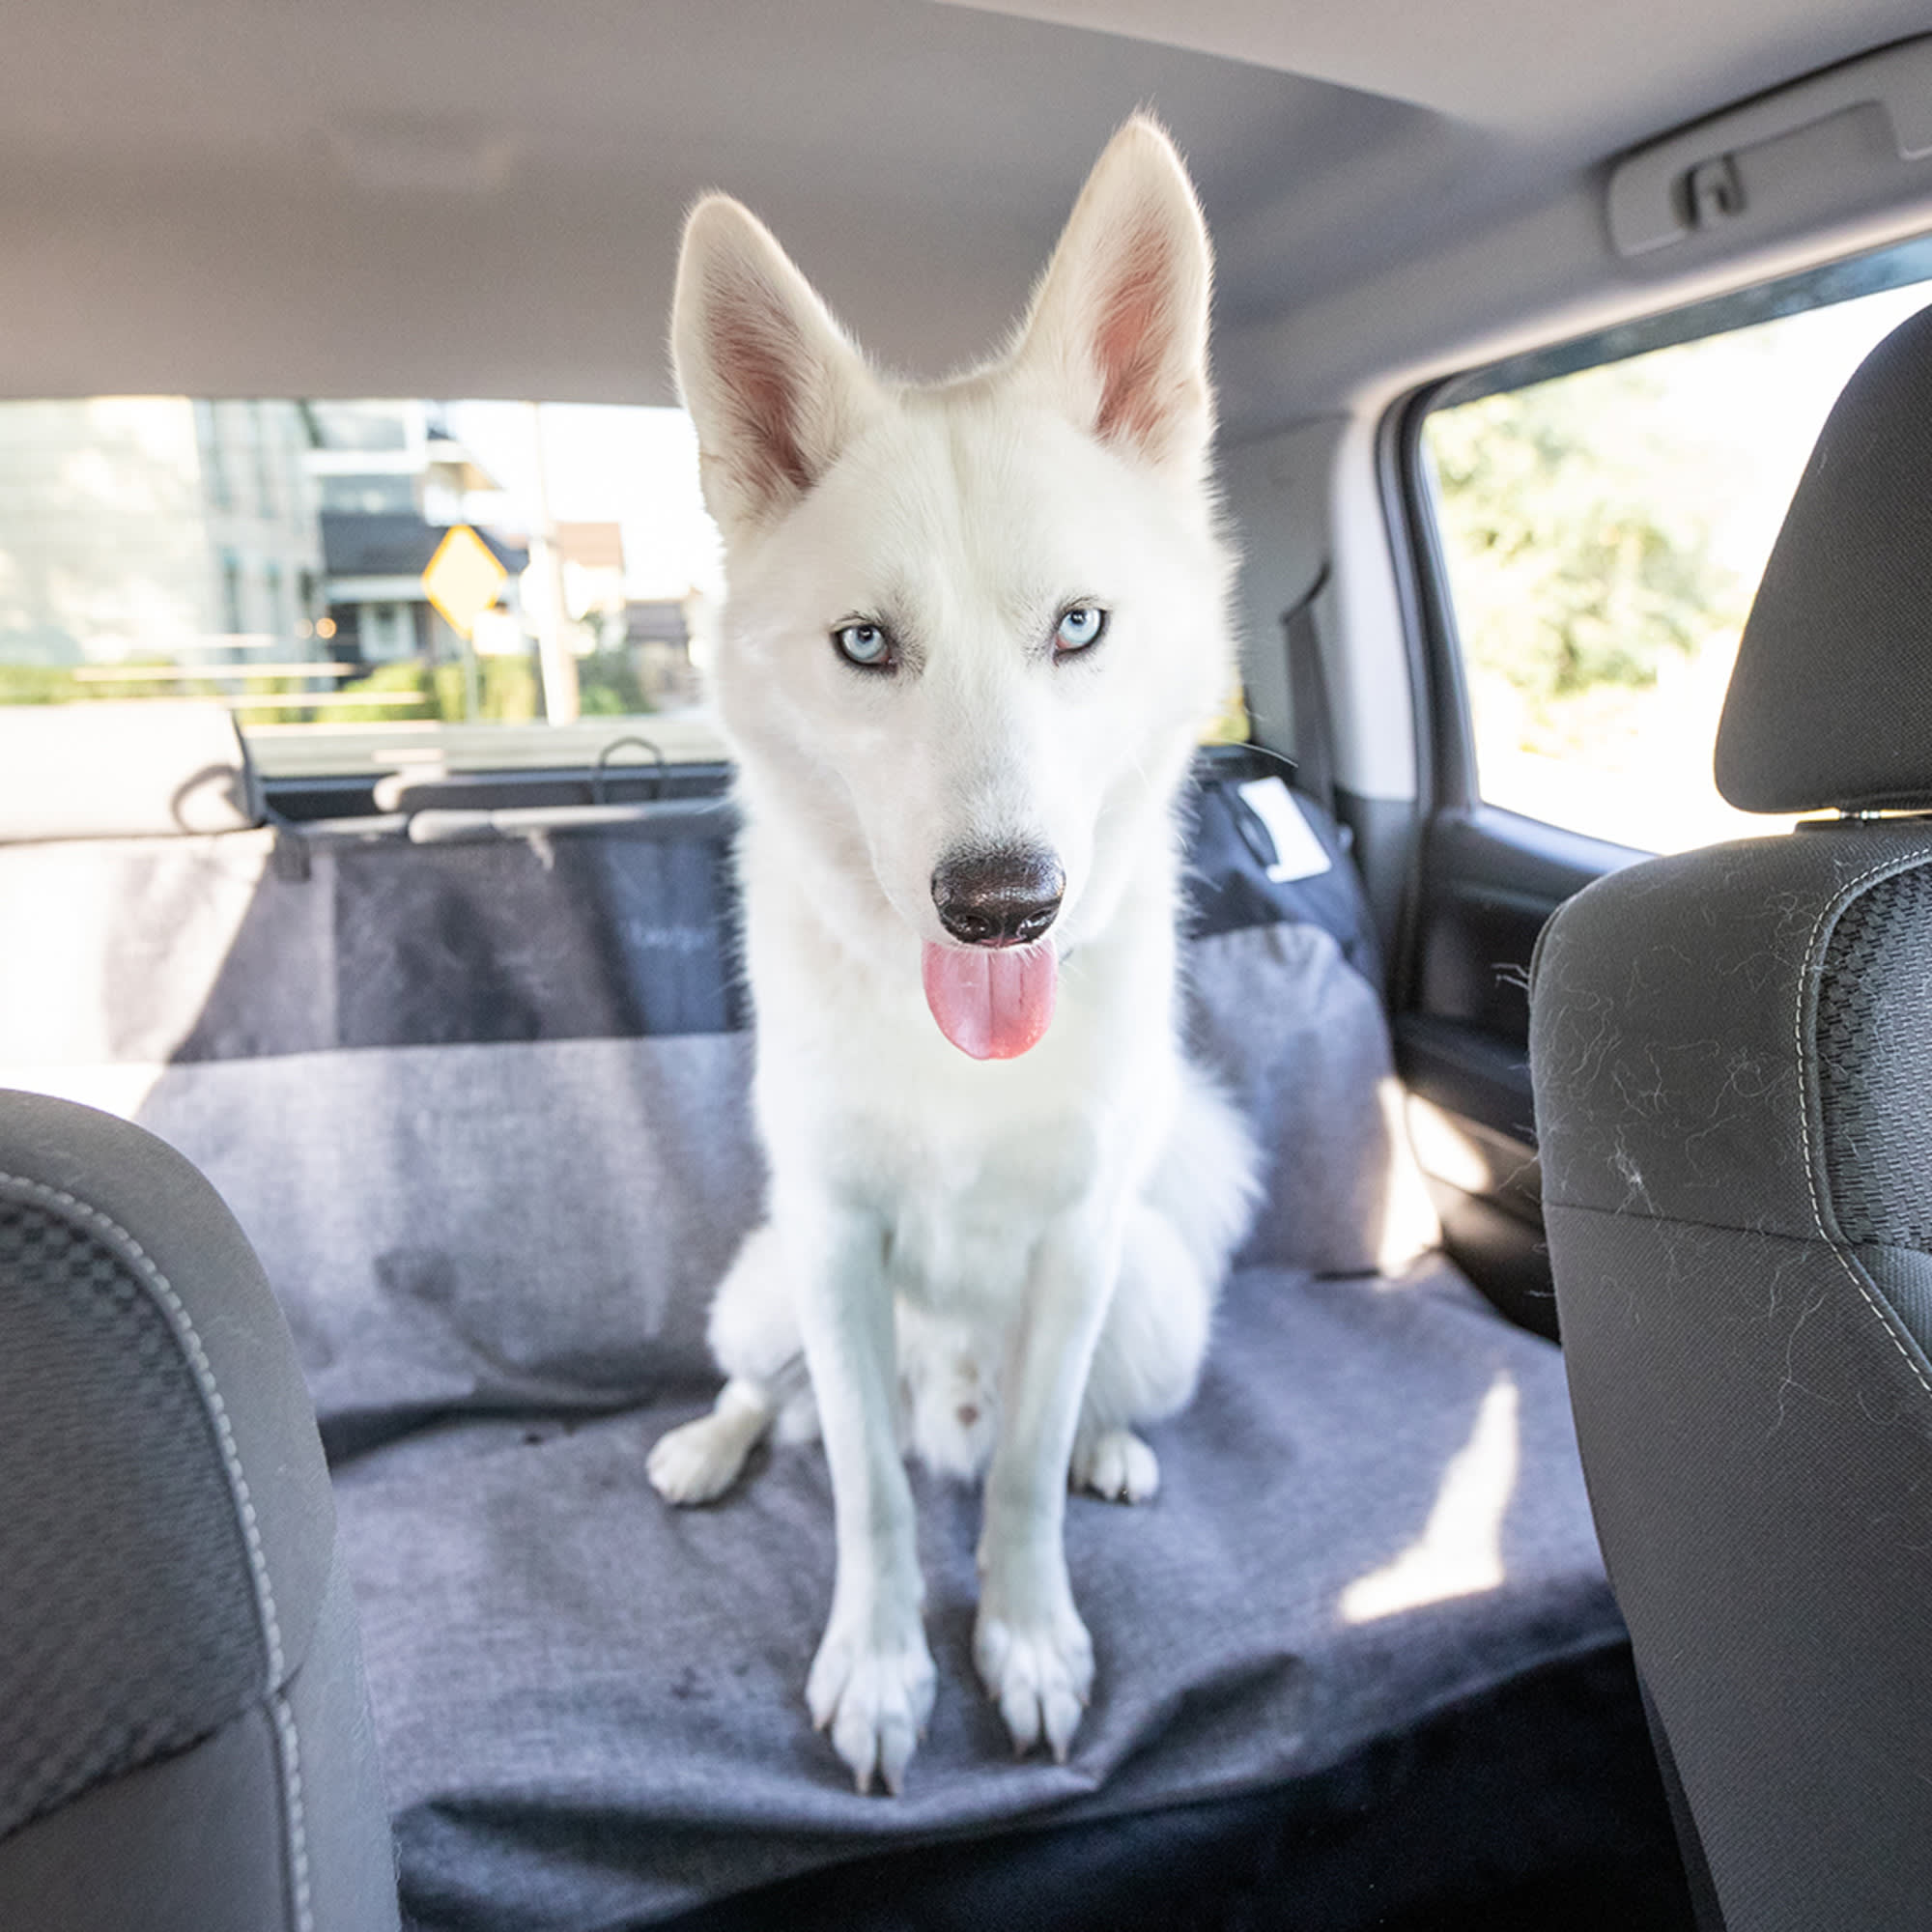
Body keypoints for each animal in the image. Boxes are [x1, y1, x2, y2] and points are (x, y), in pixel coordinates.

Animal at [641, 117, 1260, 1793]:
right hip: (766, 1285)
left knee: (1058, 1421)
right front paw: (879, 1665)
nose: (1002, 907)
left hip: (1158, 1298)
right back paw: (709, 1445)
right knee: (774, 1396)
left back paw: (1110, 1447)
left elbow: (1025, 1481)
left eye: (1080, 627)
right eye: (867, 645)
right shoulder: (836, 1243)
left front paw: (1027, 1639)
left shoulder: (1079, 1243)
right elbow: (867, 1492)